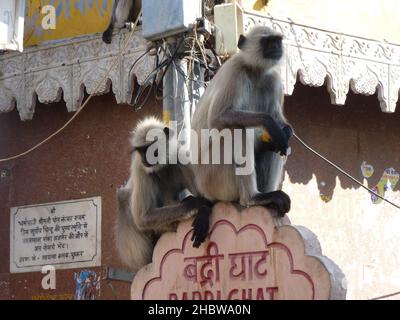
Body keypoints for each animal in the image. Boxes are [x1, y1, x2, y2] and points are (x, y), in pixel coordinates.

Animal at [115, 117, 211, 270]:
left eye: (149, 148)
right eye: (141, 150)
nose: (145, 158)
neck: (161, 165)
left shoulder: (181, 154)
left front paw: (203, 210)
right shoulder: (140, 167)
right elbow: (142, 218)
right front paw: (193, 204)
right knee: (123, 196)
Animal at [189, 26, 292, 246]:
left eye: (277, 41)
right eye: (268, 42)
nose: (277, 48)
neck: (255, 71)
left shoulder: (273, 79)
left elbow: (280, 124)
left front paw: (285, 131)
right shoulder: (234, 72)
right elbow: (218, 118)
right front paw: (271, 124)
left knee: (274, 147)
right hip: (213, 178)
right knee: (236, 130)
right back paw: (252, 198)